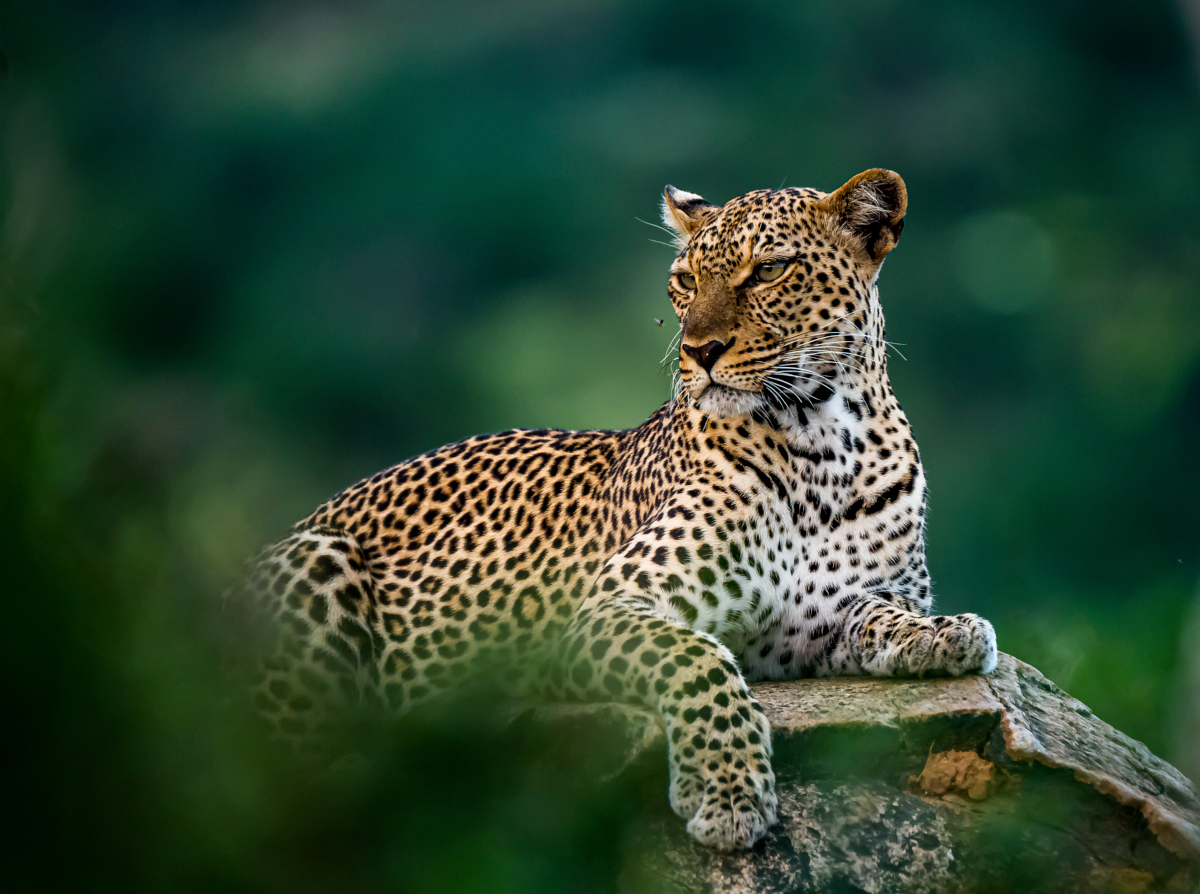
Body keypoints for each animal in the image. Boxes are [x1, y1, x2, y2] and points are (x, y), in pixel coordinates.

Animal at [229, 168, 998, 851]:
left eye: (769, 271)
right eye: (685, 280)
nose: (699, 351)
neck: (824, 444)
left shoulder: (826, 621)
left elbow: (883, 615)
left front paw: (948, 634)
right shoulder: (609, 608)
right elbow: (699, 660)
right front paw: (728, 793)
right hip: (319, 560)